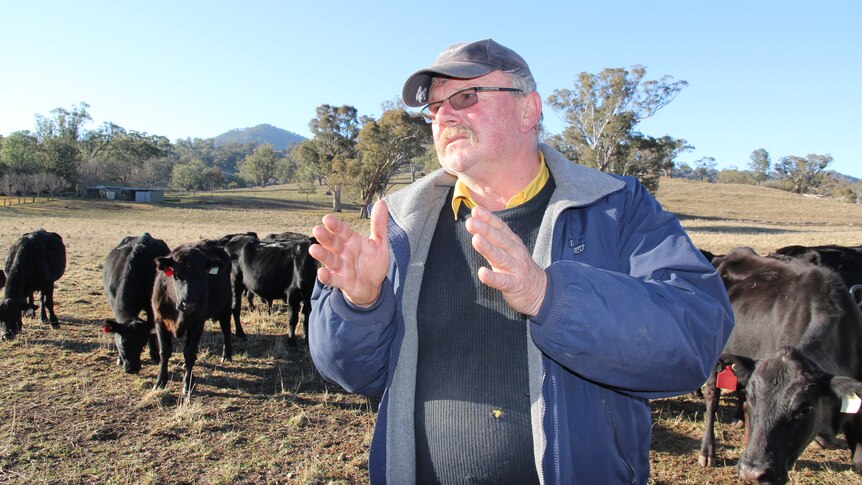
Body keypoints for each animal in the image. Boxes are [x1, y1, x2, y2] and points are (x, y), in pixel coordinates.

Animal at [102, 233, 171, 372]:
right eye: (123, 343)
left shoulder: (151, 306)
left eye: (142, 343)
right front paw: (119, 358)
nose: (132, 368)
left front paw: (154, 355)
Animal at [152, 240, 233, 396]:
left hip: (225, 308)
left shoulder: (197, 323)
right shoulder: (160, 320)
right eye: (176, 276)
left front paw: (187, 384)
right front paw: (160, 381)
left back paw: (227, 355)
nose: (188, 304)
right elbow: (164, 351)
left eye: (202, 276)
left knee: (226, 330)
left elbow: (189, 352)